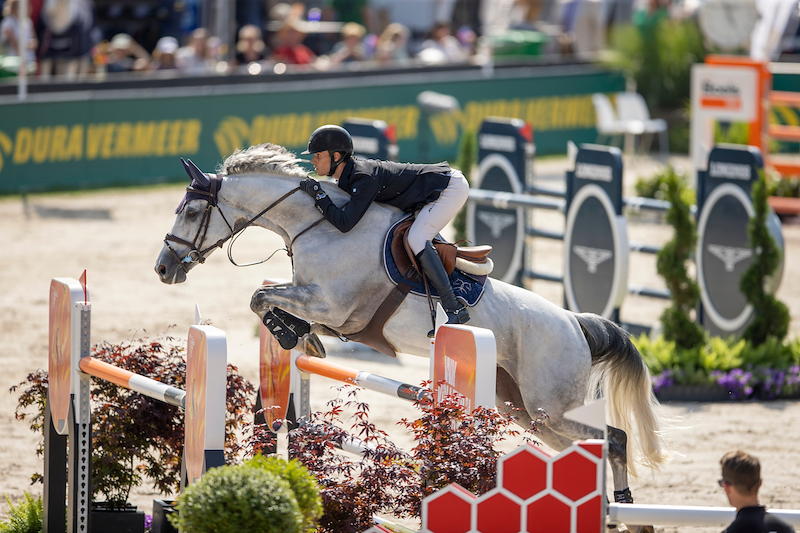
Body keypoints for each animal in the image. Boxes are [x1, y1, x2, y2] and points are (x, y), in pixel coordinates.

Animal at [154, 143, 668, 509]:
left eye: (192, 212)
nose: (164, 269)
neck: (318, 224)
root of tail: (575, 323)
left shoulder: (335, 305)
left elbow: (261, 296)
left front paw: (292, 334)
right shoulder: (315, 298)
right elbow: (265, 297)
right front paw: (301, 338)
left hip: (553, 403)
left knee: (614, 439)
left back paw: (622, 502)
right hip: (524, 408)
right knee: (587, 444)